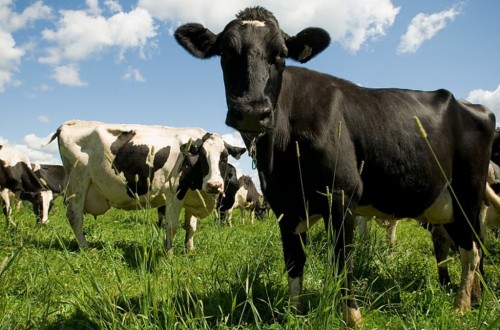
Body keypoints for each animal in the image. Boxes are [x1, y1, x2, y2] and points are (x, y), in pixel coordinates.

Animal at [49, 120, 246, 251]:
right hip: (78, 182)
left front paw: (189, 250)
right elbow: (171, 225)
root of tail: (69, 124)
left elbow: (191, 227)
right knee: (75, 216)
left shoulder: (191, 196)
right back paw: (85, 248)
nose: (214, 185)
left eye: (224, 157)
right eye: (203, 156)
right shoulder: (174, 192)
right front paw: (168, 254)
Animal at [176, 6, 496, 326]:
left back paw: (461, 306)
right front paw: (295, 313)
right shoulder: (285, 206)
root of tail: (474, 106)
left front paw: (353, 317)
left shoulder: (341, 196)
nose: (253, 111)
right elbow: (294, 262)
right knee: (472, 244)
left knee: (471, 250)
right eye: (225, 52)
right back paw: (477, 298)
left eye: (281, 54)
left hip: (467, 192)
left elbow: (343, 262)